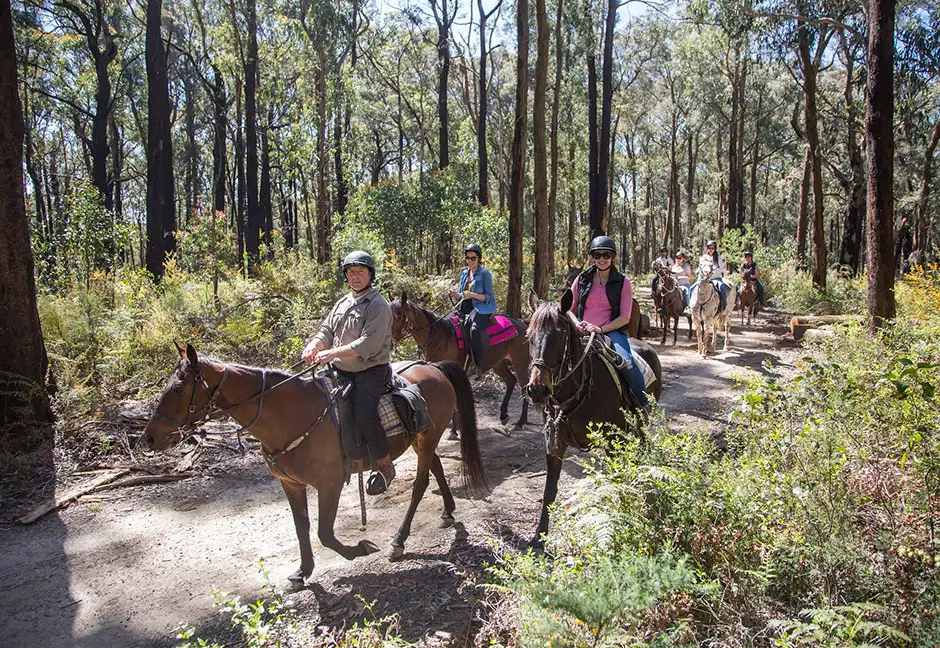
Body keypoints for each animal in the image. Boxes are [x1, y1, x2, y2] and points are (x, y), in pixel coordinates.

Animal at [143, 344, 488, 584]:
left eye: (178, 388)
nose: (149, 437)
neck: (291, 416)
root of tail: (435, 367)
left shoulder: (330, 484)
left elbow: (324, 533)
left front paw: (359, 549)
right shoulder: (291, 485)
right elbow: (302, 527)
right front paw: (302, 571)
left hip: (427, 438)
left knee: (419, 485)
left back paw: (398, 542)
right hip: (421, 440)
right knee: (436, 469)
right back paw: (447, 512)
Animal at [390, 292, 528, 426]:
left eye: (399, 315)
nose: (391, 341)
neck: (440, 337)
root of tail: (522, 324)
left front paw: (454, 428)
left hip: (520, 362)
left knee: (524, 386)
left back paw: (521, 421)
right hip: (498, 363)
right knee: (511, 381)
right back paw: (504, 415)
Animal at [520, 292, 660, 544]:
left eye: (561, 334)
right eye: (529, 335)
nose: (537, 389)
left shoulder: (613, 440)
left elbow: (616, 481)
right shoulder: (554, 444)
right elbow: (549, 490)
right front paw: (539, 536)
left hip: (641, 423)